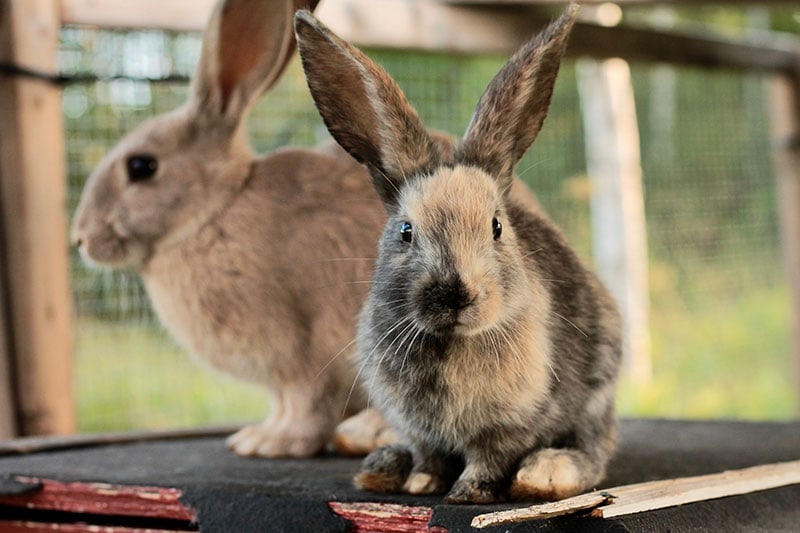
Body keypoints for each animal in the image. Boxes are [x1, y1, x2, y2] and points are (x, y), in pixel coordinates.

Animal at [71, 0, 394, 458]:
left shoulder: (304, 353)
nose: (80, 238)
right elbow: (281, 403)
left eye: (141, 166)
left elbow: (307, 402)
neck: (213, 213)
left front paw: (273, 444)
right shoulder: (280, 377)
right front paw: (255, 435)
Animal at [295, 3, 623, 503]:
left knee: (593, 450)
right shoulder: (419, 429)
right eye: (406, 231)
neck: (452, 342)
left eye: (496, 227)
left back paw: (545, 473)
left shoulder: (509, 427)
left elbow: (490, 458)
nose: (455, 294)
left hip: (596, 396)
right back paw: (384, 466)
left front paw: (468, 493)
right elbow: (429, 454)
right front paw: (422, 483)